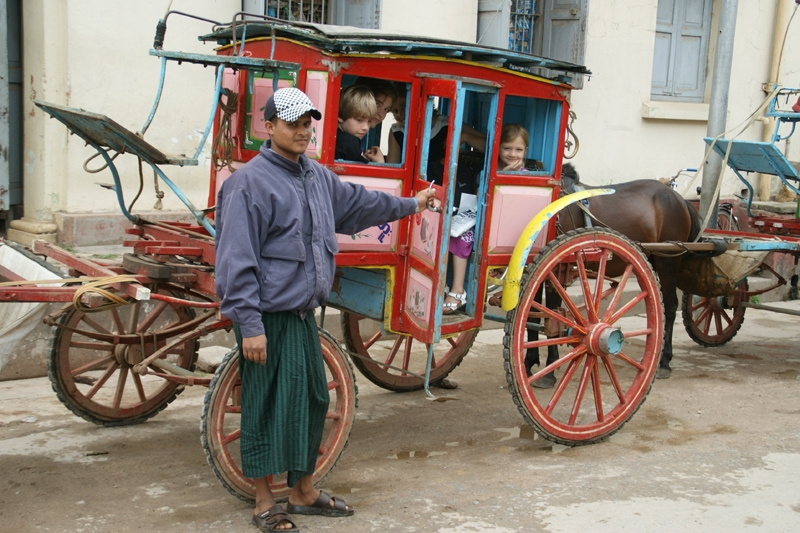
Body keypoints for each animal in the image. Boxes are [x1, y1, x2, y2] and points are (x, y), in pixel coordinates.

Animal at [528, 163, 704, 382]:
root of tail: (678, 198)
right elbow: (532, 315)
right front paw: (529, 362)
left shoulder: (557, 268)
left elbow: (551, 312)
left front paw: (550, 369)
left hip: (668, 261)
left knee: (671, 307)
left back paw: (664, 361)